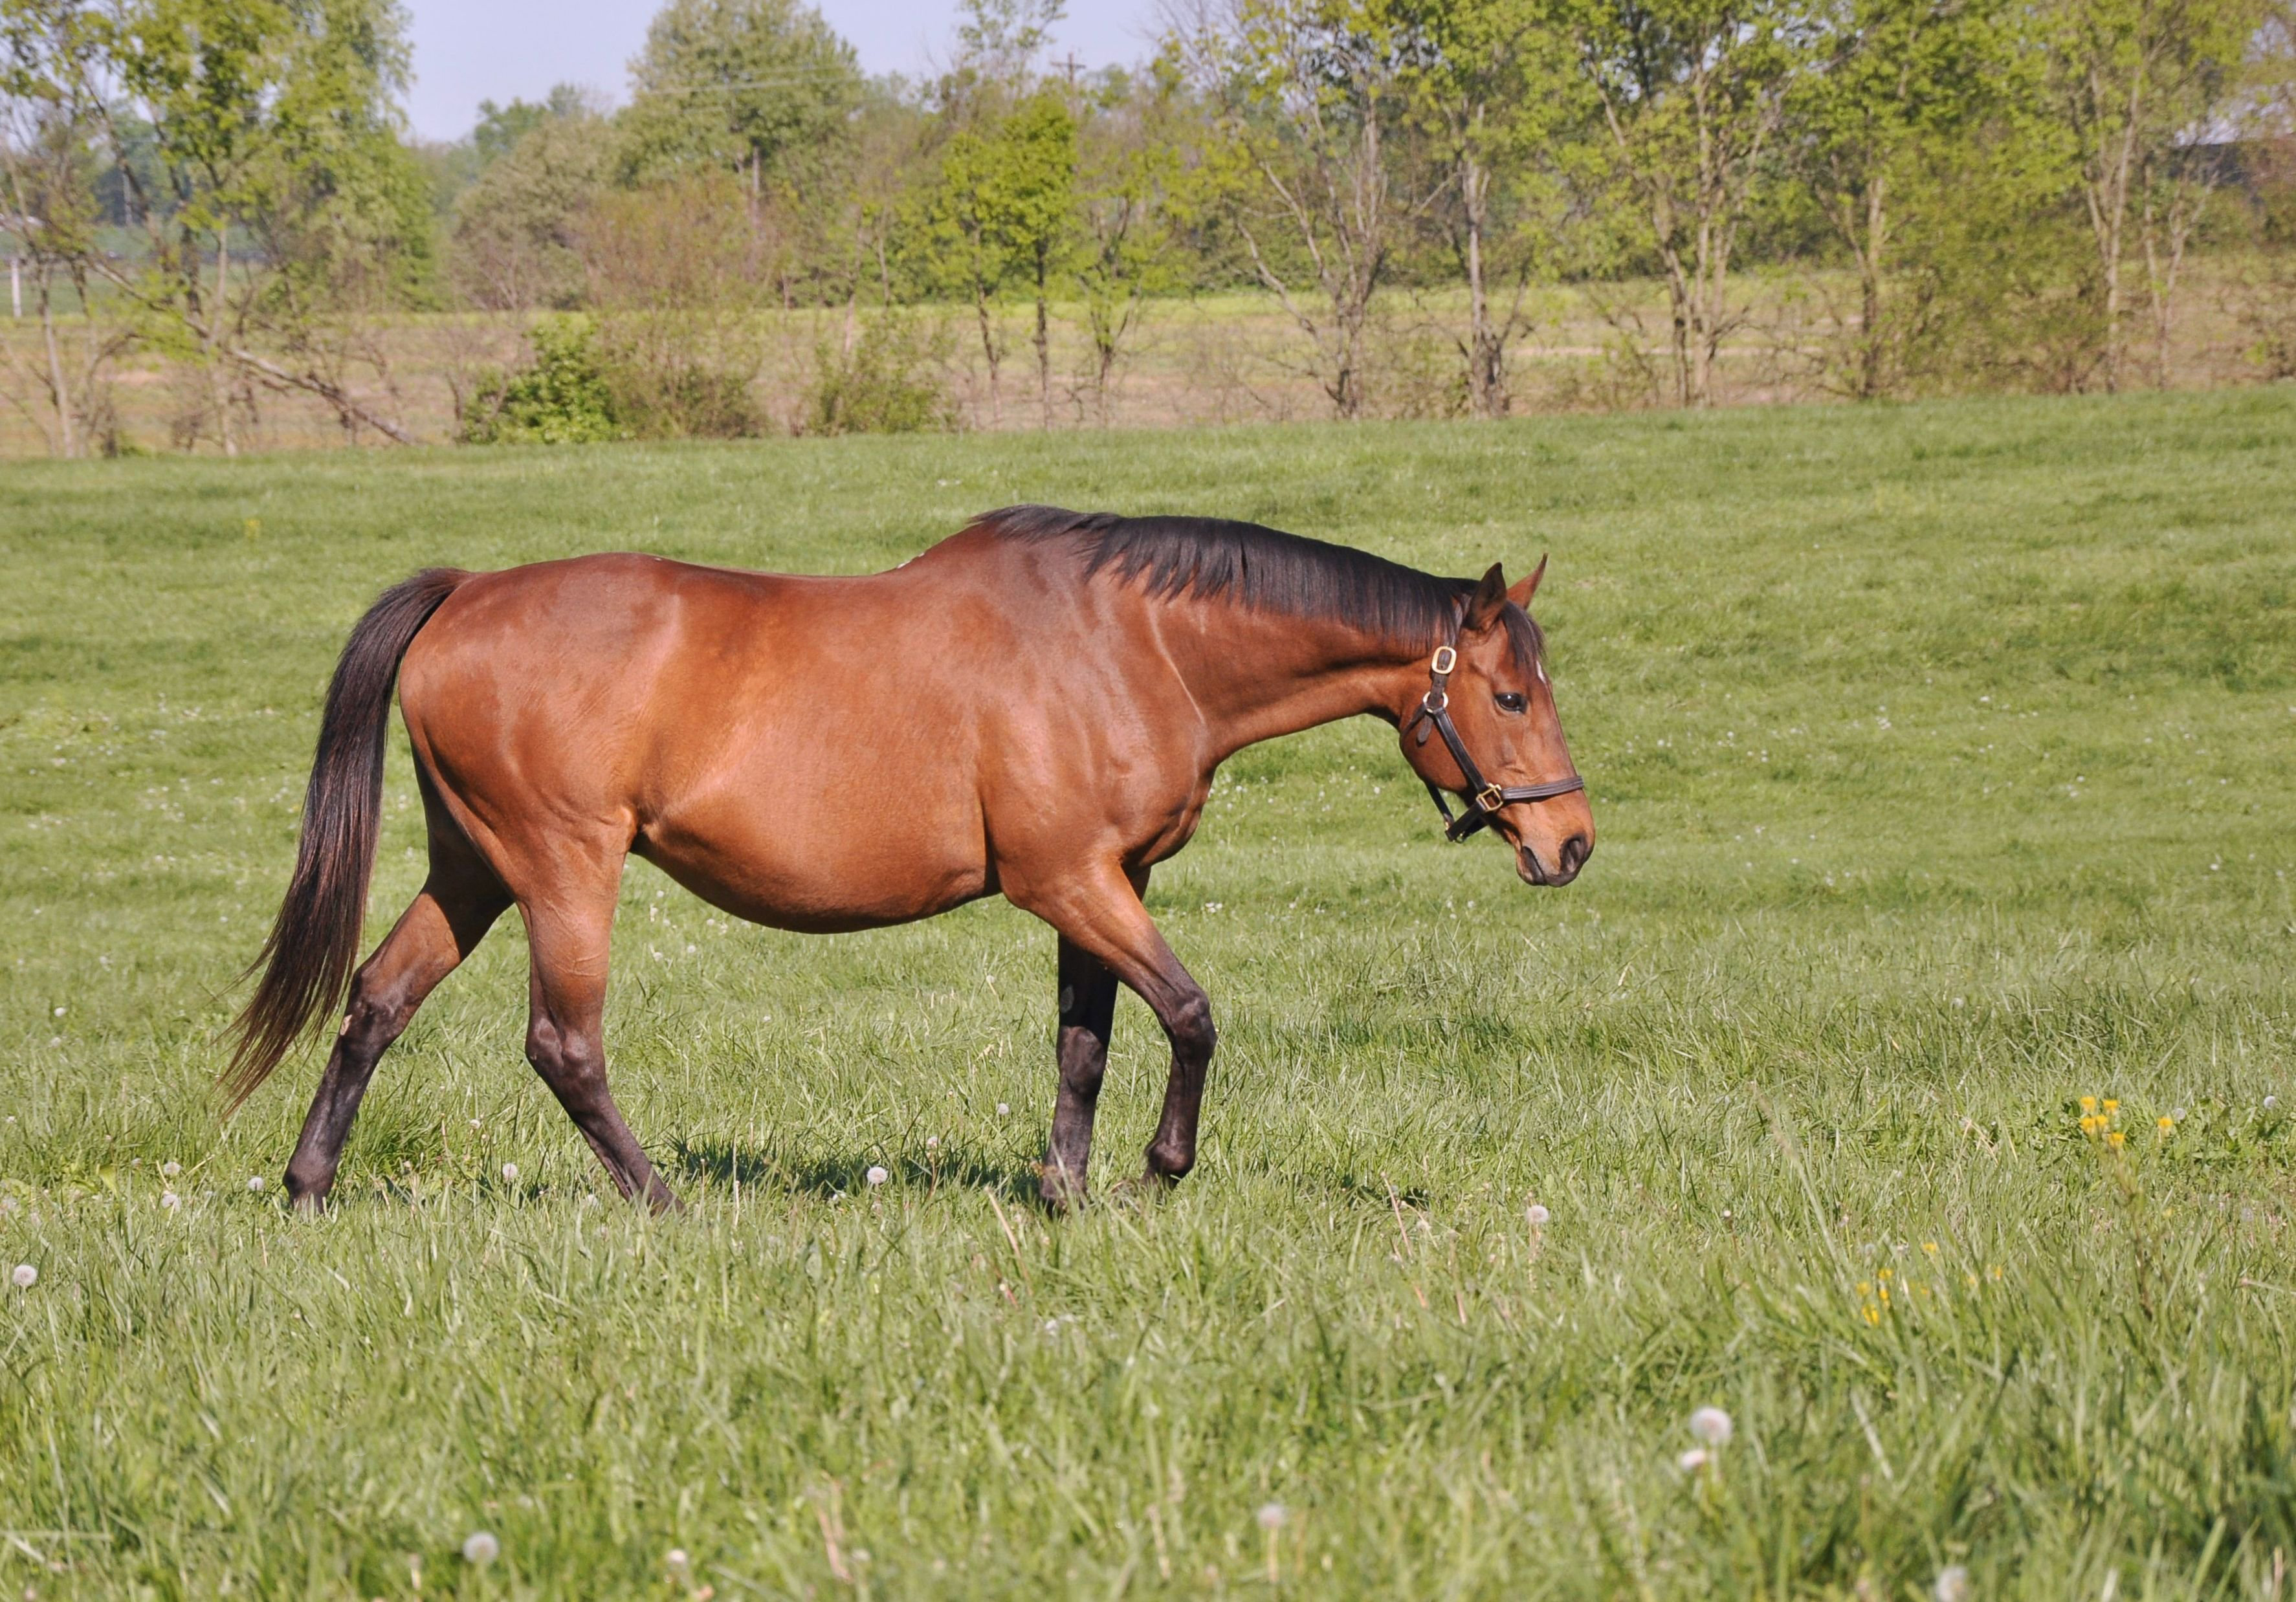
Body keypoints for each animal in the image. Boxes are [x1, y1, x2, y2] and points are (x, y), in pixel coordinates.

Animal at [233, 512, 1598, 1211]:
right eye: (1511, 695)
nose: (1568, 841)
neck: (1129, 642)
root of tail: (466, 593)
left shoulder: (1102, 886)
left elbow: (1086, 1043)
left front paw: (1065, 1192)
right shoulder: (1070, 883)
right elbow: (1192, 1015)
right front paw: (1159, 1168)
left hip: (474, 865)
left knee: (375, 1002)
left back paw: (308, 1188)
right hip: (567, 867)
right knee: (562, 1044)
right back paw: (666, 1203)